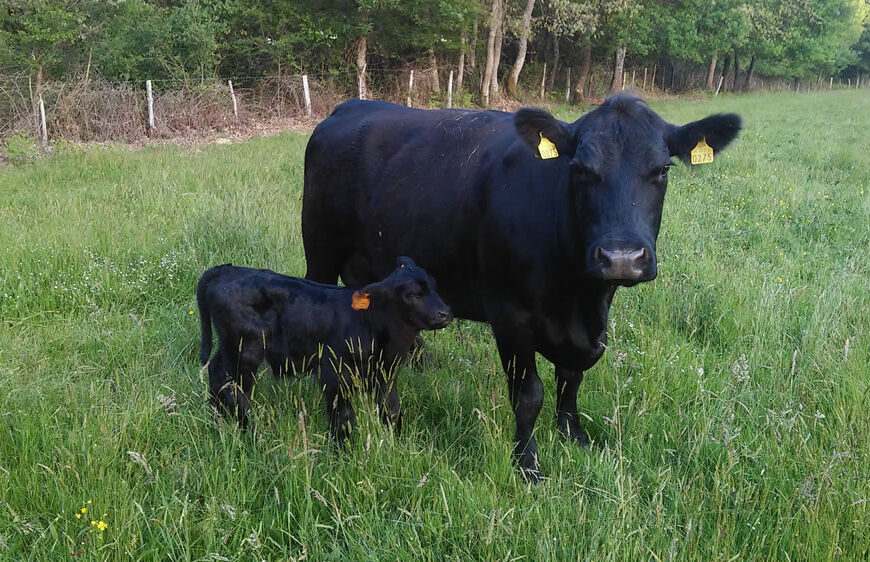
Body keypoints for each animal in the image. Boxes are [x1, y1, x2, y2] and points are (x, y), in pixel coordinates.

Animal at [198, 258, 454, 438]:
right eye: (412, 295)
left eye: (435, 287)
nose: (445, 313)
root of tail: (228, 270)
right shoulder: (334, 375)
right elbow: (343, 418)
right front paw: (343, 452)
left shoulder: (386, 376)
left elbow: (391, 410)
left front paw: (396, 442)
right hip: (245, 350)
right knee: (237, 391)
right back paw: (248, 428)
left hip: (229, 346)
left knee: (217, 373)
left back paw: (216, 415)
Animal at [302, 94, 744, 480]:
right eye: (580, 169)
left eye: (663, 170)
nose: (621, 257)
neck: (577, 299)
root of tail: (351, 106)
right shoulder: (510, 315)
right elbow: (529, 395)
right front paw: (527, 462)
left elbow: (571, 378)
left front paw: (573, 435)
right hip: (320, 250)